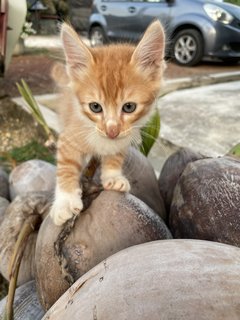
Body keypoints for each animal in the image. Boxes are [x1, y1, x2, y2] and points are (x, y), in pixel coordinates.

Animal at [48, 20, 165, 225]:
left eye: (129, 107)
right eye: (95, 107)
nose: (112, 131)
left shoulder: (125, 136)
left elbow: (115, 154)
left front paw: (112, 175)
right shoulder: (69, 137)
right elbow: (66, 166)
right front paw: (65, 201)